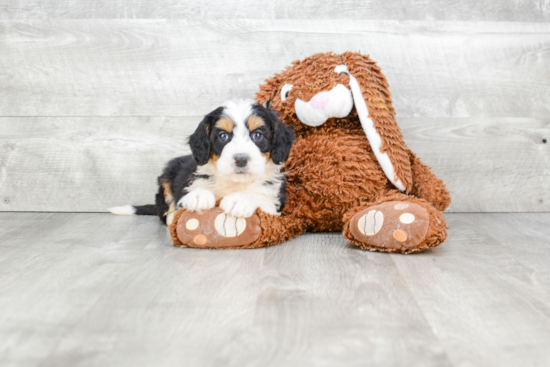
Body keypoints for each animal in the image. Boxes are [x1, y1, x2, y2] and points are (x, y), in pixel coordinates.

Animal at [109, 99, 296, 226]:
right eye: (223, 136)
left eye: (257, 135)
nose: (241, 159)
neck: (234, 182)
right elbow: (194, 189)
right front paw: (199, 196)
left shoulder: (275, 201)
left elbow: (259, 195)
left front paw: (240, 199)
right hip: (166, 177)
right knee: (165, 210)